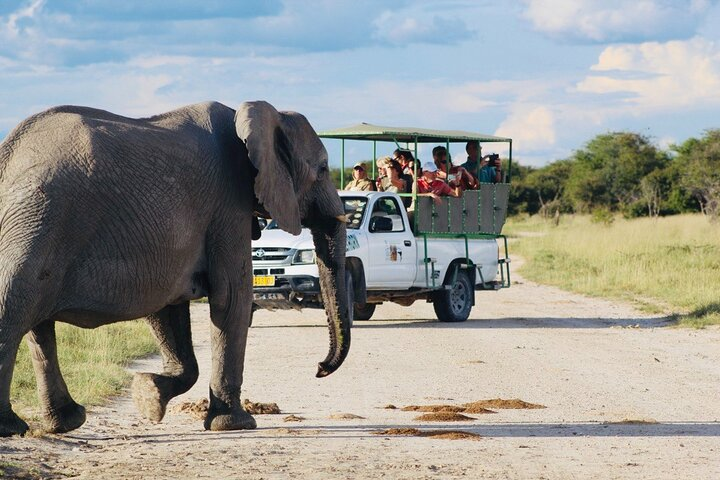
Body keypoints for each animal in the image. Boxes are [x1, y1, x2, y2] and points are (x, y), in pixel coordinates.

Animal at [0, 100, 352, 436]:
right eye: (323, 169)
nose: (319, 368)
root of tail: (8, 154)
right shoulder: (228, 203)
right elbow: (231, 298)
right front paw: (234, 424)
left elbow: (168, 306)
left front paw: (148, 396)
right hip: (41, 218)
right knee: (14, 305)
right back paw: (13, 427)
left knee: (37, 325)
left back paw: (65, 422)